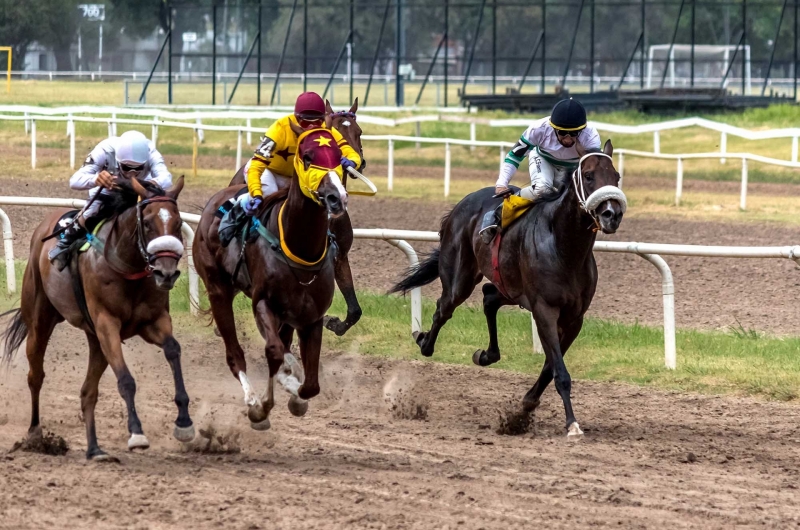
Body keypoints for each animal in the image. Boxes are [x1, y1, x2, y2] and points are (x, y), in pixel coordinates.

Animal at [0, 177, 194, 458]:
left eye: (178, 224)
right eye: (147, 223)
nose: (166, 273)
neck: (127, 267)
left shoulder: (153, 322)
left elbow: (173, 349)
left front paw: (184, 422)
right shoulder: (107, 325)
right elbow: (126, 380)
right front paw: (136, 433)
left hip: (94, 339)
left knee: (87, 391)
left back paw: (94, 449)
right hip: (40, 320)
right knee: (35, 376)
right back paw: (36, 434)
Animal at [193, 120, 346, 428]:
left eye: (338, 155)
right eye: (307, 156)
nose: (336, 197)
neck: (301, 248)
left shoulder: (311, 316)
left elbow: (311, 383)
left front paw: (296, 395)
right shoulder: (264, 302)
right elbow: (274, 351)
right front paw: (264, 405)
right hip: (217, 289)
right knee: (235, 353)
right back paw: (252, 400)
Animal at [228, 98, 366, 334]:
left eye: (359, 131)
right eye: (336, 129)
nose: (356, 164)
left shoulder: (340, 256)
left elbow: (354, 310)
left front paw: (334, 323)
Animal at [390, 139, 628, 434]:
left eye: (616, 176)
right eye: (588, 175)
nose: (612, 214)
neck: (565, 247)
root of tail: (461, 204)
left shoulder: (574, 318)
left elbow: (550, 366)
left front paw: (524, 408)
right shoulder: (544, 309)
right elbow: (559, 371)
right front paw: (572, 424)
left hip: (511, 288)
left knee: (489, 297)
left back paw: (486, 354)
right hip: (460, 278)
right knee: (444, 308)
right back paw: (424, 341)